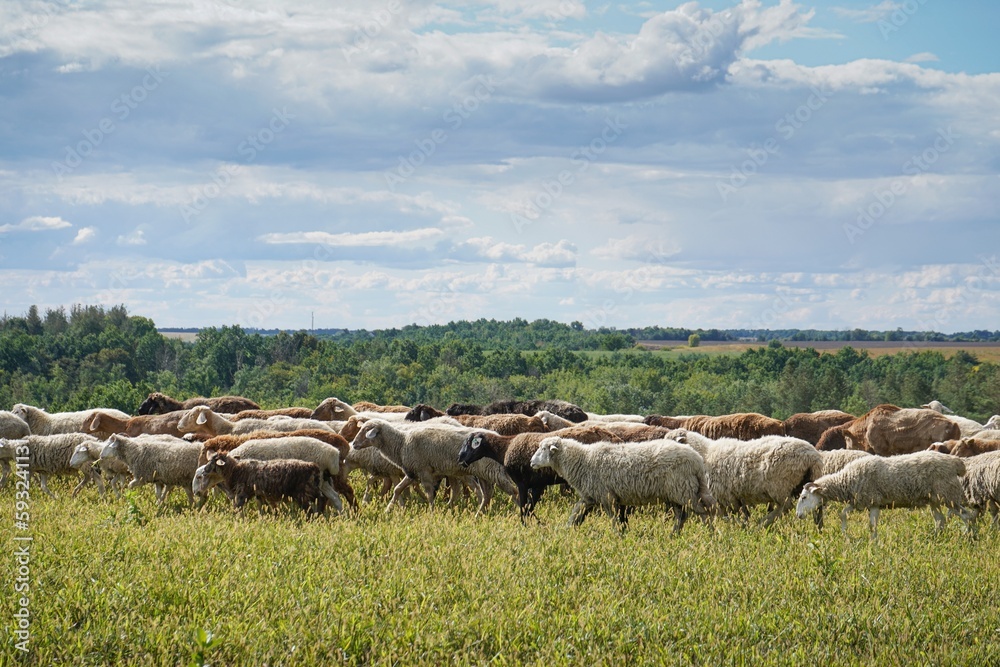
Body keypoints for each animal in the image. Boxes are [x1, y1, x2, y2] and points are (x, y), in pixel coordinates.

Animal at [192, 452, 339, 516]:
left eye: (212, 461)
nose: (204, 470)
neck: (234, 470)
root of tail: (314, 467)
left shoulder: (243, 494)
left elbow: (237, 508)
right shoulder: (259, 494)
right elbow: (262, 509)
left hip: (304, 493)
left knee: (316, 504)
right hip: (311, 491)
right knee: (322, 500)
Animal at [350, 419, 516, 513]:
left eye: (366, 431)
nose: (354, 444)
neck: (402, 443)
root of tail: (498, 437)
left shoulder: (424, 471)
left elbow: (429, 493)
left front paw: (431, 511)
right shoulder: (412, 471)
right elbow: (397, 489)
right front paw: (388, 509)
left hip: (492, 470)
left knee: (511, 490)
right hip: (480, 472)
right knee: (485, 493)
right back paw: (478, 512)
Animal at [529, 436, 715, 533]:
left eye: (544, 449)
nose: (531, 462)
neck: (583, 460)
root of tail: (697, 460)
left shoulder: (607, 496)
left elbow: (614, 519)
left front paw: (617, 536)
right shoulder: (590, 496)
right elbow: (576, 513)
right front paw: (566, 530)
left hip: (684, 490)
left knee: (703, 513)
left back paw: (710, 534)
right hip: (676, 494)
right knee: (682, 516)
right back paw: (673, 535)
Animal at [680, 431, 824, 527]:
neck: (705, 455)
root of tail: (812, 457)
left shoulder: (725, 497)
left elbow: (730, 516)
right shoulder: (736, 498)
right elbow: (743, 514)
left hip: (780, 486)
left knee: (784, 507)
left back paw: (763, 523)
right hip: (810, 483)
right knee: (815, 508)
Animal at [795, 450, 972, 540]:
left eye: (804, 497)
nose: (798, 515)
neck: (846, 480)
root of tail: (957, 463)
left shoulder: (872, 500)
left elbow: (871, 524)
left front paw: (873, 541)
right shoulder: (860, 501)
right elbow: (843, 514)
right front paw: (846, 533)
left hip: (948, 495)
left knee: (966, 515)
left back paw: (970, 536)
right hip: (934, 499)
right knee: (940, 520)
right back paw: (935, 538)